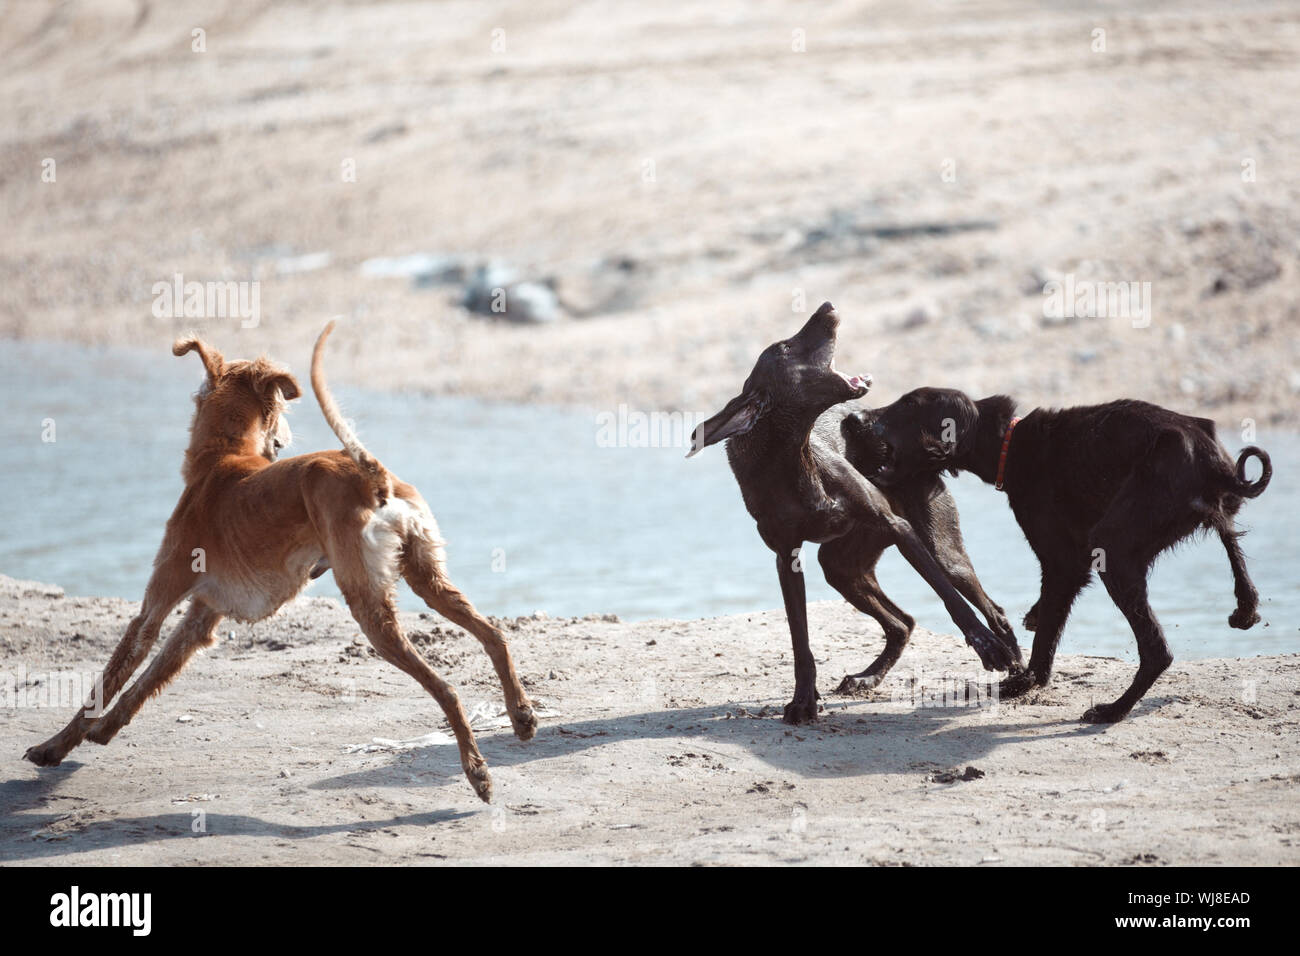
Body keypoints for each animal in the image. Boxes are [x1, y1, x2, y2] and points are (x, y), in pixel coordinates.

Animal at [20, 321, 530, 801]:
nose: (284, 438)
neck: (223, 461)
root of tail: (374, 476)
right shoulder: (202, 616)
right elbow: (147, 681)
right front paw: (103, 731)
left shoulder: (156, 605)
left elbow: (109, 680)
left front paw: (54, 746)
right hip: (428, 577)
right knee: (494, 635)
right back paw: (521, 715)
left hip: (369, 608)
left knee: (447, 687)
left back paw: (477, 772)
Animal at [691, 303, 1024, 723]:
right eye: (785, 347)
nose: (827, 306)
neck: (789, 460)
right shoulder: (787, 559)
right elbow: (800, 642)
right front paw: (803, 701)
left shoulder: (896, 526)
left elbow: (951, 600)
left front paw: (986, 646)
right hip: (841, 567)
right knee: (903, 623)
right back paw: (868, 678)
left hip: (940, 552)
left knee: (987, 606)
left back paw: (1017, 667)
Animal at [868, 385, 1274, 723]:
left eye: (907, 404)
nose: (861, 418)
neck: (1011, 444)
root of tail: (1213, 463)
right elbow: (1047, 620)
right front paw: (1028, 662)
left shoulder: (1063, 563)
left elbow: (1047, 631)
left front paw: (1026, 680)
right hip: (1199, 516)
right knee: (1231, 543)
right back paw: (1246, 608)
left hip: (1114, 546)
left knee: (1158, 651)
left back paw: (1114, 710)